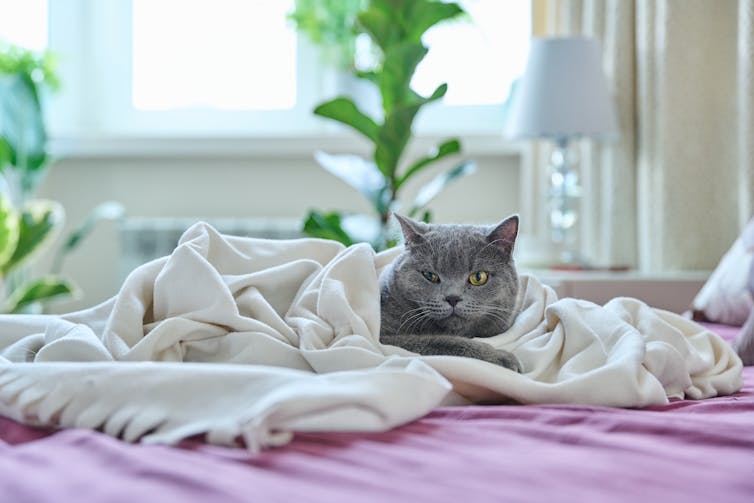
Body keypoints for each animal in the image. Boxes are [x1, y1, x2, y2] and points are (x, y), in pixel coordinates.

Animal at [378, 215, 520, 372]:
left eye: (478, 277)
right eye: (430, 275)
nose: (453, 298)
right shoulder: (384, 339)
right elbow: (441, 342)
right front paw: (501, 358)